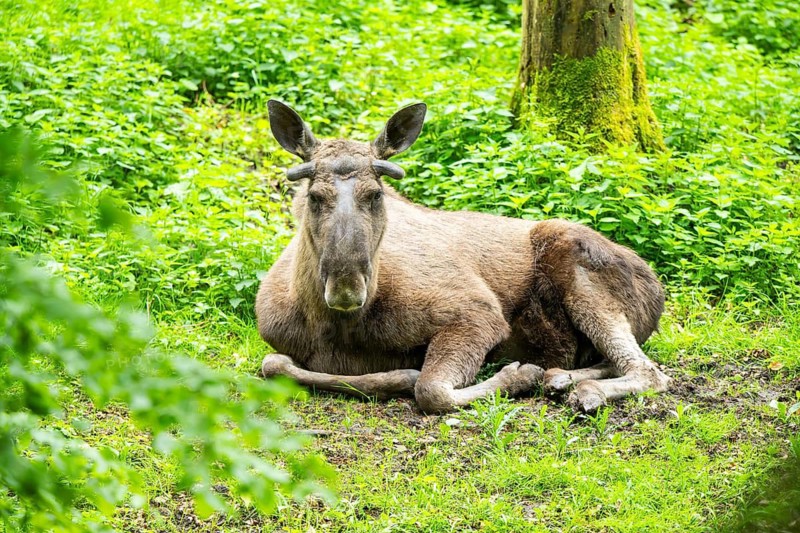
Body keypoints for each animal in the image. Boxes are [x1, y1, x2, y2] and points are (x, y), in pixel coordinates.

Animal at [255, 100, 671, 414]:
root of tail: (657, 289)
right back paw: (561, 378)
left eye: (376, 194)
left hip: (579, 268)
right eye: (314, 196)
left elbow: (430, 389)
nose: (346, 286)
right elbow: (274, 364)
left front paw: (516, 375)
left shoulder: (477, 312)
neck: (338, 326)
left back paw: (579, 388)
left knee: (651, 372)